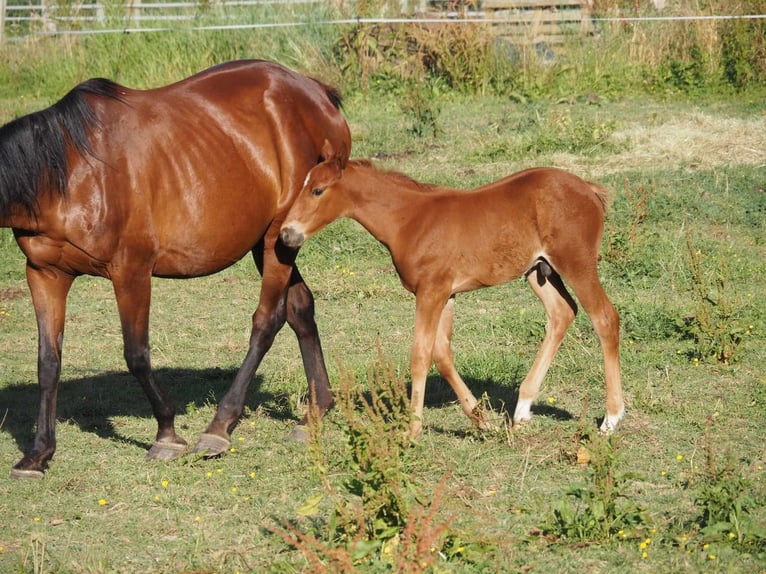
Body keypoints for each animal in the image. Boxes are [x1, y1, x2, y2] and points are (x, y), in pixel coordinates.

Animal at [0, 60, 352, 480]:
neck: (67, 175)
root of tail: (316, 94)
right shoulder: (44, 273)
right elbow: (47, 362)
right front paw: (38, 454)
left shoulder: (131, 271)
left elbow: (136, 354)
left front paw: (166, 434)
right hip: (273, 241)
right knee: (300, 308)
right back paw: (313, 415)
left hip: (275, 242)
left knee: (267, 321)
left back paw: (218, 427)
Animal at [280, 142, 628, 438]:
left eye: (318, 190)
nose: (286, 234)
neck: (409, 220)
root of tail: (587, 188)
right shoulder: (446, 294)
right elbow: (442, 353)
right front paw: (481, 418)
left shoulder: (430, 293)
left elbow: (421, 354)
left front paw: (413, 430)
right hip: (538, 272)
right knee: (562, 313)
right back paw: (521, 410)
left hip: (576, 264)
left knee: (604, 317)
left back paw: (611, 418)